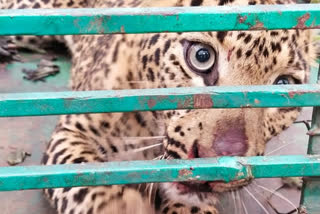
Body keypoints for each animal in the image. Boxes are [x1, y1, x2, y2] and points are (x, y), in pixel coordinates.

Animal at [0, 0, 316, 212]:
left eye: (283, 85)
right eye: (201, 56)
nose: (214, 162)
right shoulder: (72, 131)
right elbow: (84, 179)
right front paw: (122, 206)